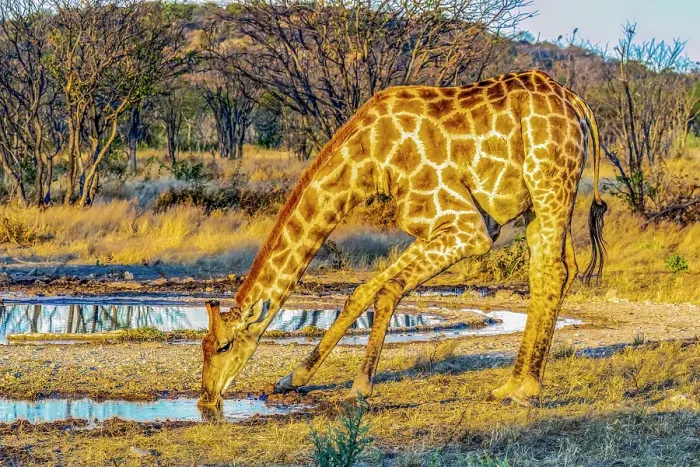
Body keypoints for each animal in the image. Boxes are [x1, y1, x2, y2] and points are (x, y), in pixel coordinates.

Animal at [198, 70, 607, 409]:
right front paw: (292, 378)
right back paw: (509, 385)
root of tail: (577, 103)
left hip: (548, 182)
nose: (206, 397)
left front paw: (359, 387)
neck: (369, 159)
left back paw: (526, 391)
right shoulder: (432, 227)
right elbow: (363, 291)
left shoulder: (468, 228)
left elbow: (388, 289)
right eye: (203, 346)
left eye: (223, 346)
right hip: (539, 203)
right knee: (549, 272)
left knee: (553, 271)